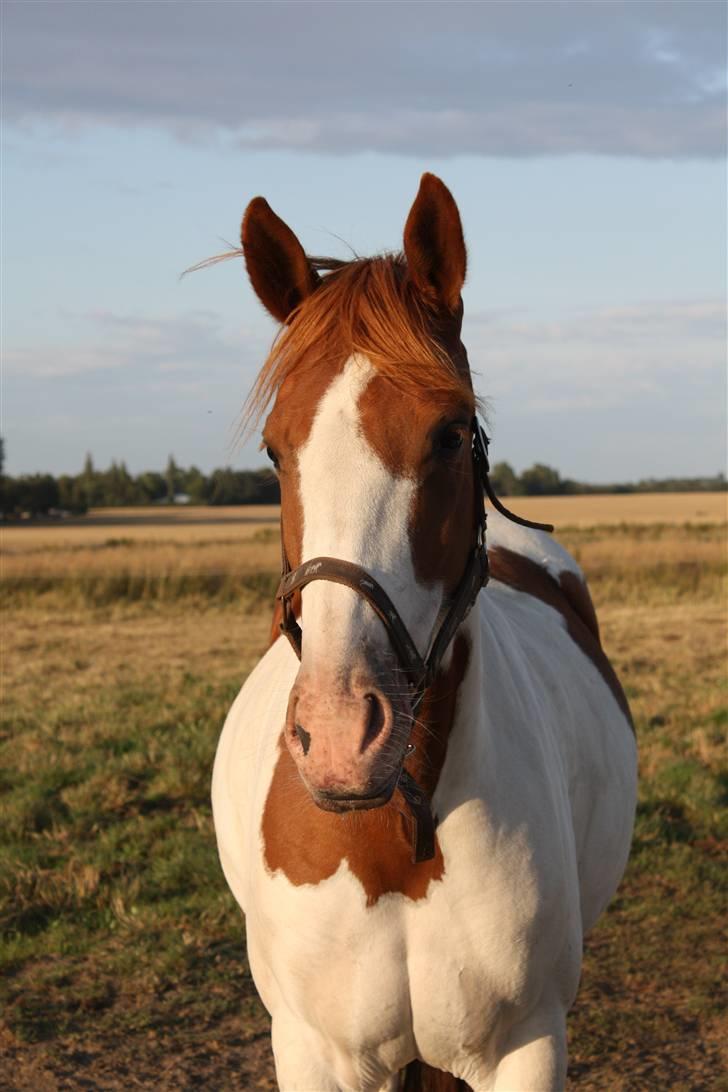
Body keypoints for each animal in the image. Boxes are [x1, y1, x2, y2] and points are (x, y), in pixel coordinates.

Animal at [211, 172, 637, 1092]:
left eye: (450, 432)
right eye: (275, 449)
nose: (341, 736)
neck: (394, 843)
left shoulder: (526, 1047)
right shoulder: (313, 1051)